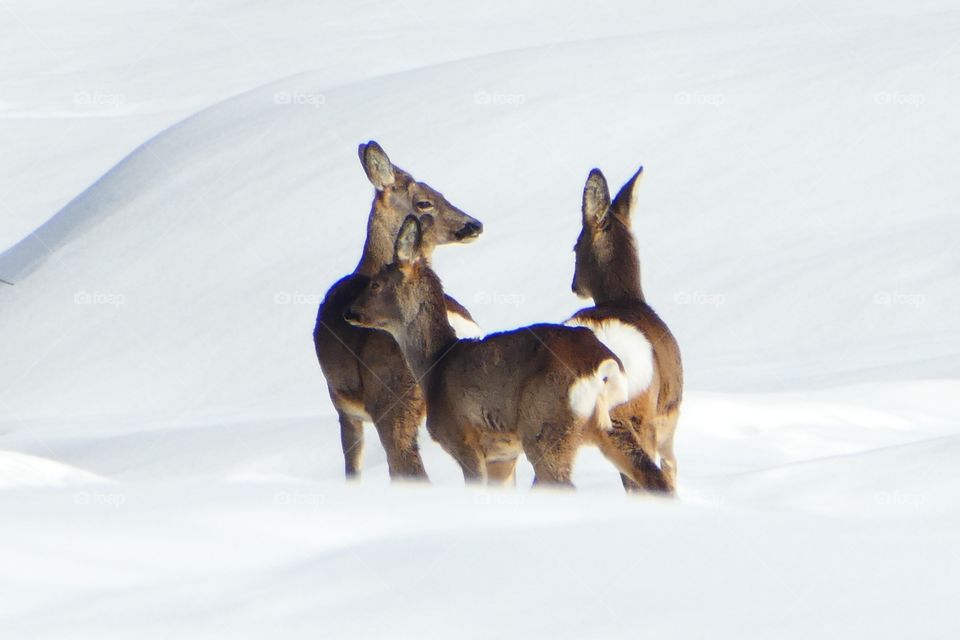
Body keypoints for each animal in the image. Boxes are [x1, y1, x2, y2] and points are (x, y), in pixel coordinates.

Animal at [344, 215, 668, 490]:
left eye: (375, 284)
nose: (350, 311)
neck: (436, 364)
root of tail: (601, 365)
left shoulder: (463, 439)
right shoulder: (503, 453)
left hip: (544, 427)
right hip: (613, 422)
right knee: (656, 479)